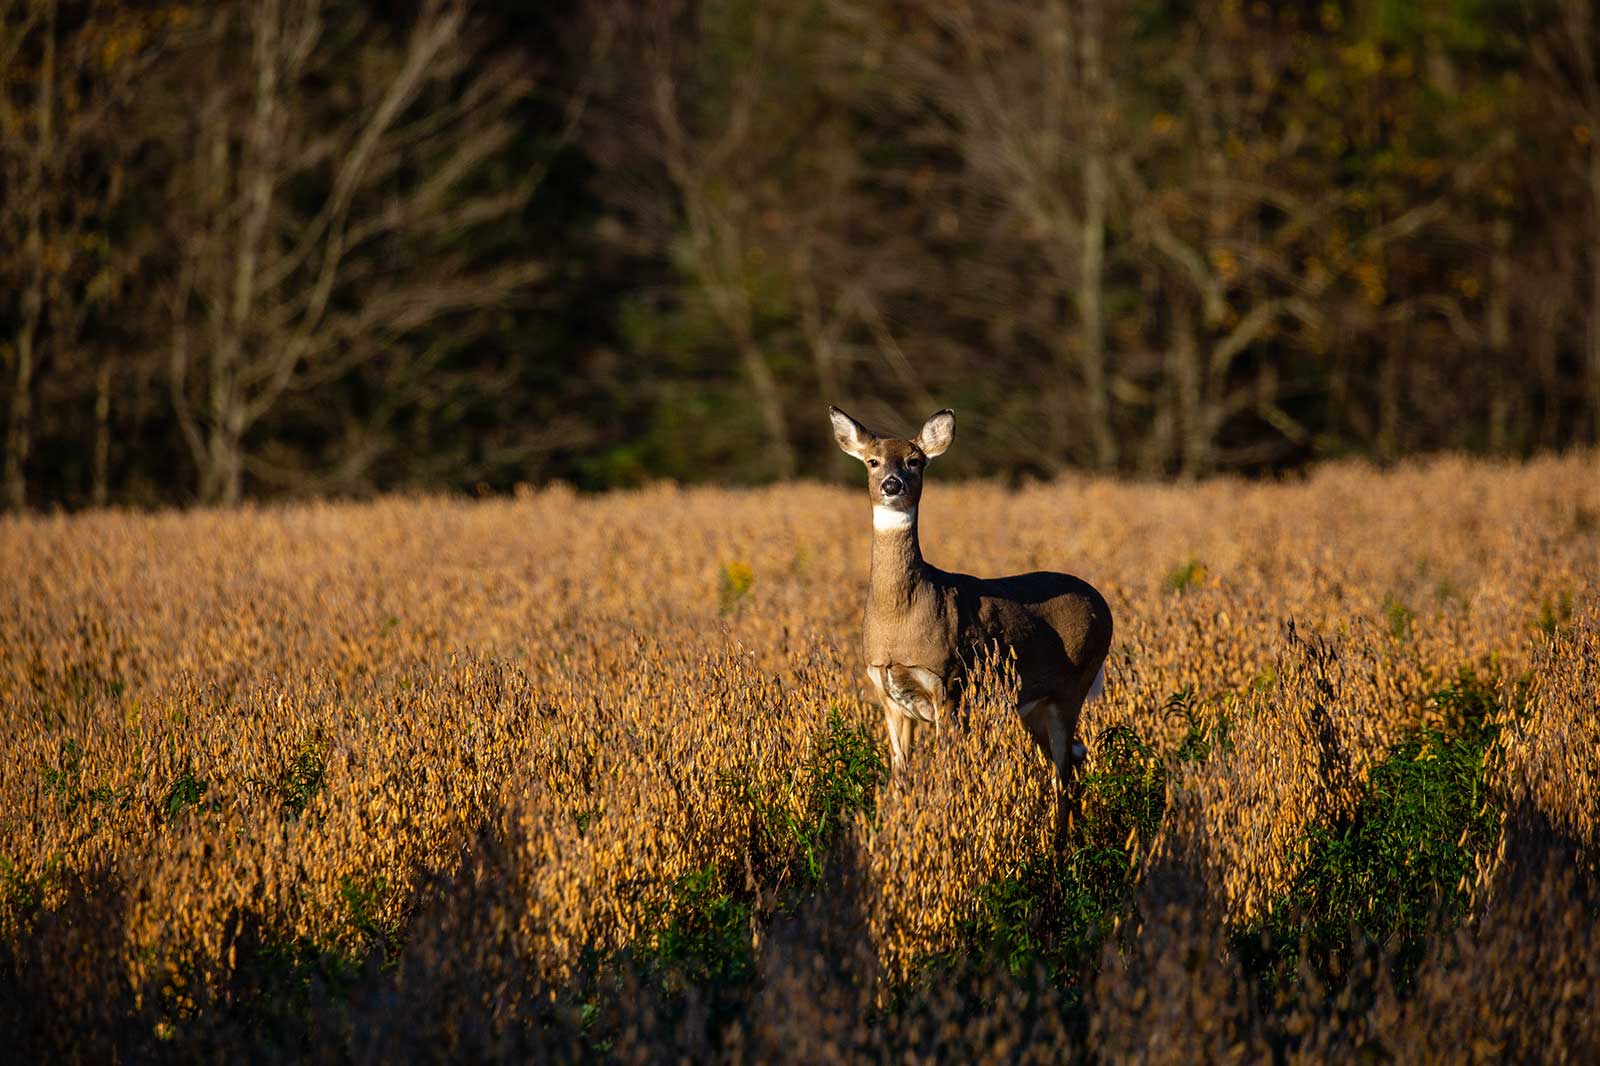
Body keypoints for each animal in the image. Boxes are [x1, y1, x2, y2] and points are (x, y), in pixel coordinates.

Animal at [829, 405, 1113, 812]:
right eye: (873, 461)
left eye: (915, 461)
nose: (892, 485)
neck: (899, 621)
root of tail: (1103, 604)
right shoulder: (886, 692)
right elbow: (900, 777)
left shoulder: (949, 682)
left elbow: (948, 773)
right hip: (1035, 703)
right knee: (1075, 757)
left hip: (1073, 684)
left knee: (1064, 771)